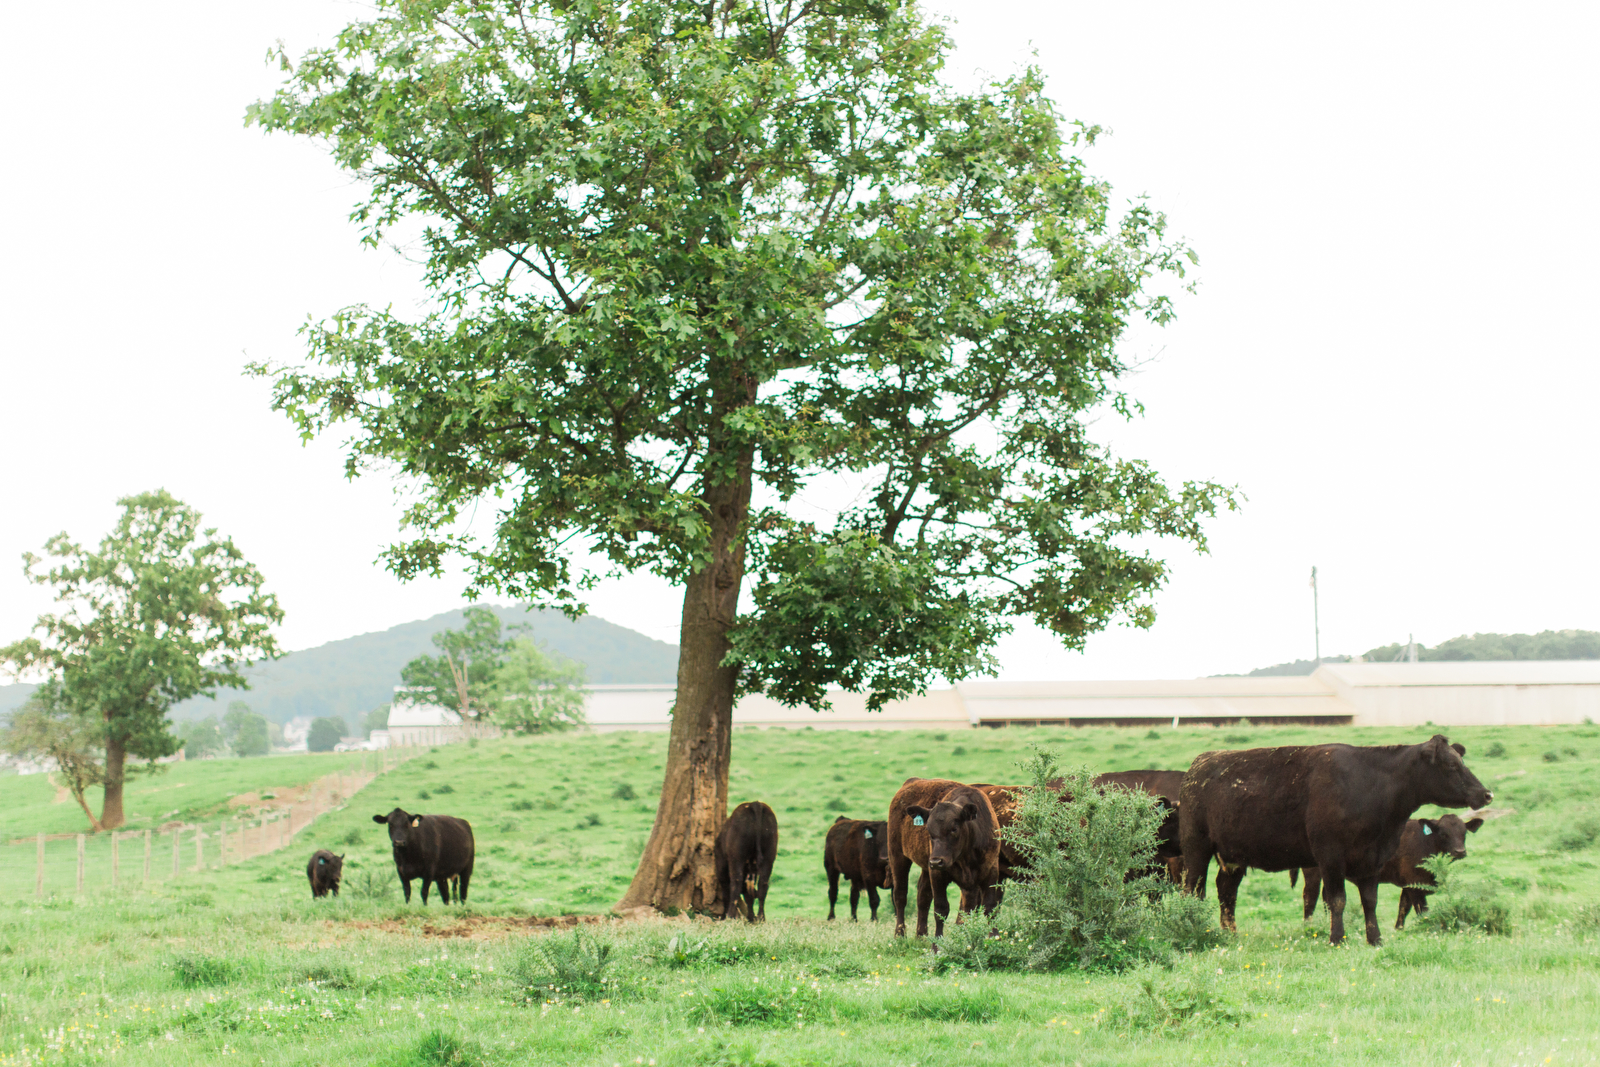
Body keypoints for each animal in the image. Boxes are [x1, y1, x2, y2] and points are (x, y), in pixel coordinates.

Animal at [889, 780, 998, 940]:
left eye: (954, 829)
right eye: (928, 829)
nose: (936, 861)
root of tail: (912, 781)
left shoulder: (990, 872)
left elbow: (986, 907)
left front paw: (994, 937)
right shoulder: (938, 875)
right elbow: (941, 910)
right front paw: (937, 943)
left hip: (925, 867)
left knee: (923, 896)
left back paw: (921, 935)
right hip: (898, 856)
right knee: (900, 895)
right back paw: (899, 935)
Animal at [1286, 812, 1484, 927]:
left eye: (1464, 833)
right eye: (1443, 833)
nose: (1460, 851)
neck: (1426, 842)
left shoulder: (1408, 884)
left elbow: (1404, 907)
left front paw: (1399, 930)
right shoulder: (1415, 884)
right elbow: (1422, 910)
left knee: (1327, 897)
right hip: (1313, 871)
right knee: (1310, 897)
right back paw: (1310, 925)